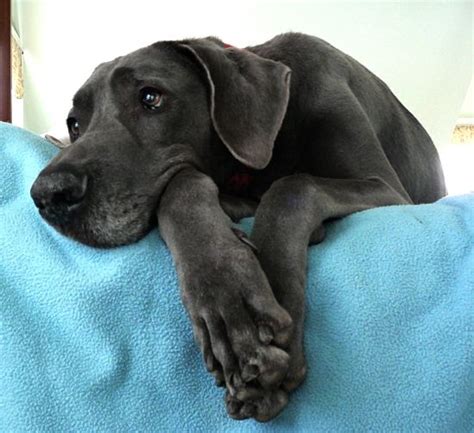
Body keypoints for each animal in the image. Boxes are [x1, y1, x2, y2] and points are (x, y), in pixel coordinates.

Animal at [31, 33, 446, 418]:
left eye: (150, 97)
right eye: (74, 124)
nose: (48, 193)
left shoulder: (386, 188)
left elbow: (294, 186)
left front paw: (268, 311)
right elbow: (182, 186)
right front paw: (227, 295)